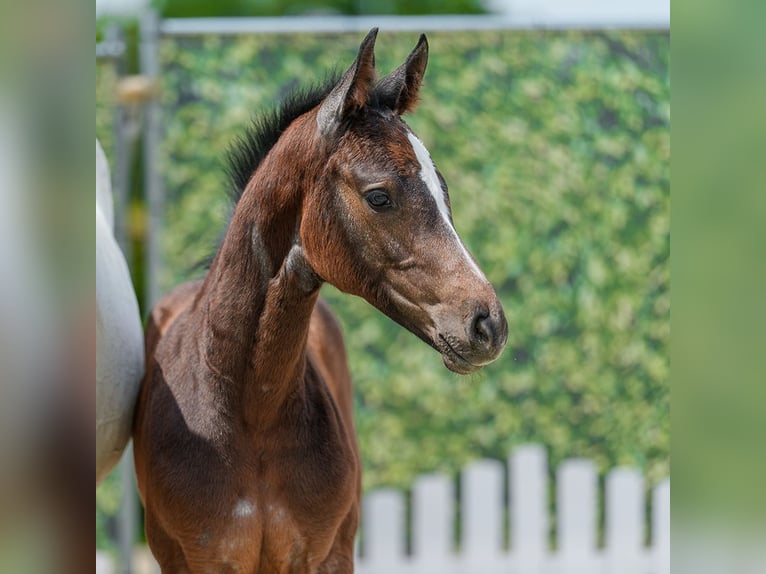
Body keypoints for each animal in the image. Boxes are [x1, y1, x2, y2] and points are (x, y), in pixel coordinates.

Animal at [132, 29, 508, 573]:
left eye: (444, 191)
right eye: (379, 196)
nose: (488, 324)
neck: (252, 412)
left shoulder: (328, 554)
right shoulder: (191, 560)